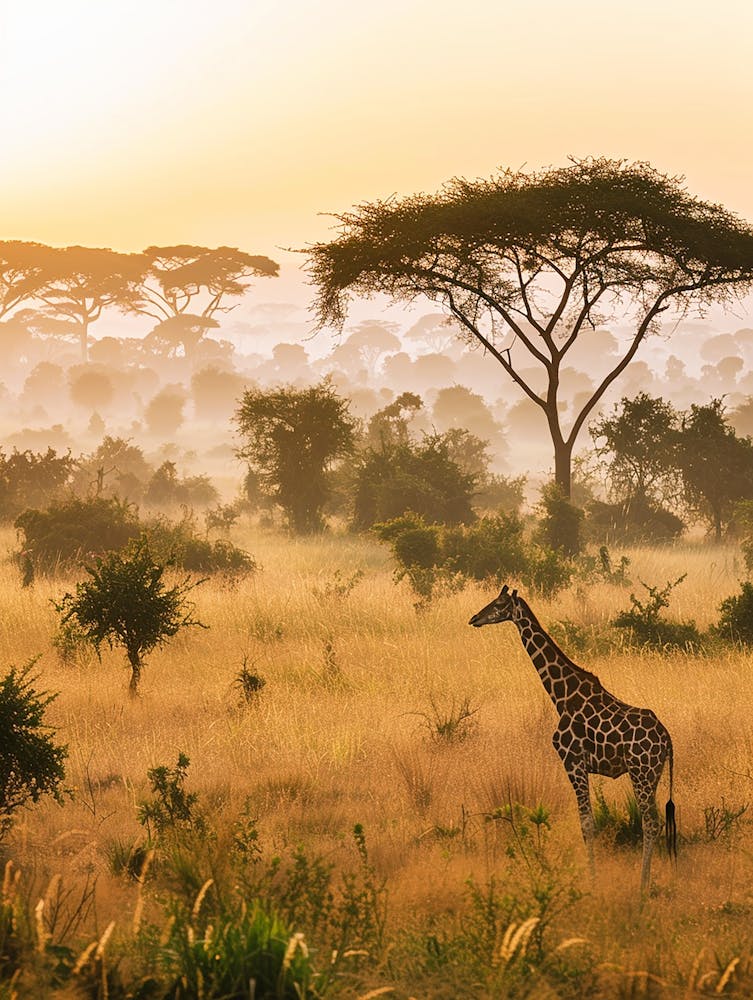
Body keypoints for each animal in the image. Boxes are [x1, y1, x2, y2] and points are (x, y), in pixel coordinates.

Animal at [469, 584, 676, 892]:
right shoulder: (581, 766)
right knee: (656, 821)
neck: (561, 696)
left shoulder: (573, 761)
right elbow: (588, 823)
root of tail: (667, 740)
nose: (474, 618)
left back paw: (642, 886)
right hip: (654, 773)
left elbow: (587, 824)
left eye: (499, 604)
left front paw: (592, 882)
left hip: (641, 771)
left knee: (650, 822)